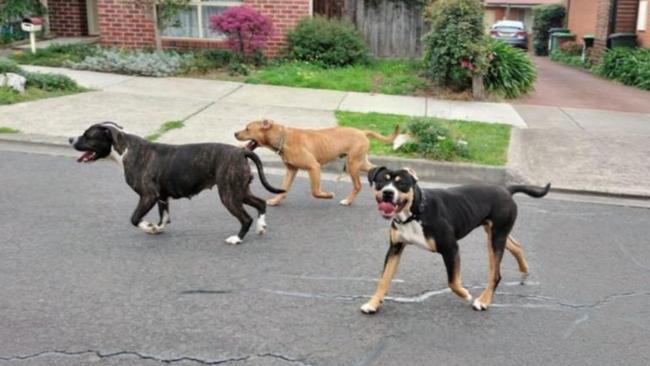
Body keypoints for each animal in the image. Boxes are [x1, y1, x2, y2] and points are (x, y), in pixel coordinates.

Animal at [69, 121, 284, 244]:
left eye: (88, 135)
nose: (71, 139)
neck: (125, 148)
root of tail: (241, 152)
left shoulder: (148, 196)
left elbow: (135, 218)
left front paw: (148, 227)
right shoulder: (161, 196)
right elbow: (164, 216)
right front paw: (157, 228)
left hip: (229, 194)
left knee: (245, 218)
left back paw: (237, 239)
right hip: (239, 190)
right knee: (260, 203)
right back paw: (261, 227)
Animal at [233, 119, 400, 206]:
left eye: (247, 129)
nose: (235, 133)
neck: (283, 138)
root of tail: (362, 132)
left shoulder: (314, 167)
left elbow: (315, 191)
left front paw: (327, 195)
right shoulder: (291, 170)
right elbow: (283, 189)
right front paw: (275, 201)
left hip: (353, 164)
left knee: (358, 185)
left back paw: (347, 201)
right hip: (361, 162)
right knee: (378, 170)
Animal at [360, 167, 548, 314]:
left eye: (402, 183)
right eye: (380, 182)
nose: (388, 193)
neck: (416, 212)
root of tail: (506, 190)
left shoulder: (450, 248)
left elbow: (452, 282)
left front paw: (465, 294)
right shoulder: (395, 248)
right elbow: (384, 279)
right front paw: (373, 304)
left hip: (496, 238)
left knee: (495, 274)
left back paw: (483, 301)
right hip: (495, 233)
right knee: (516, 246)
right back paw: (524, 271)